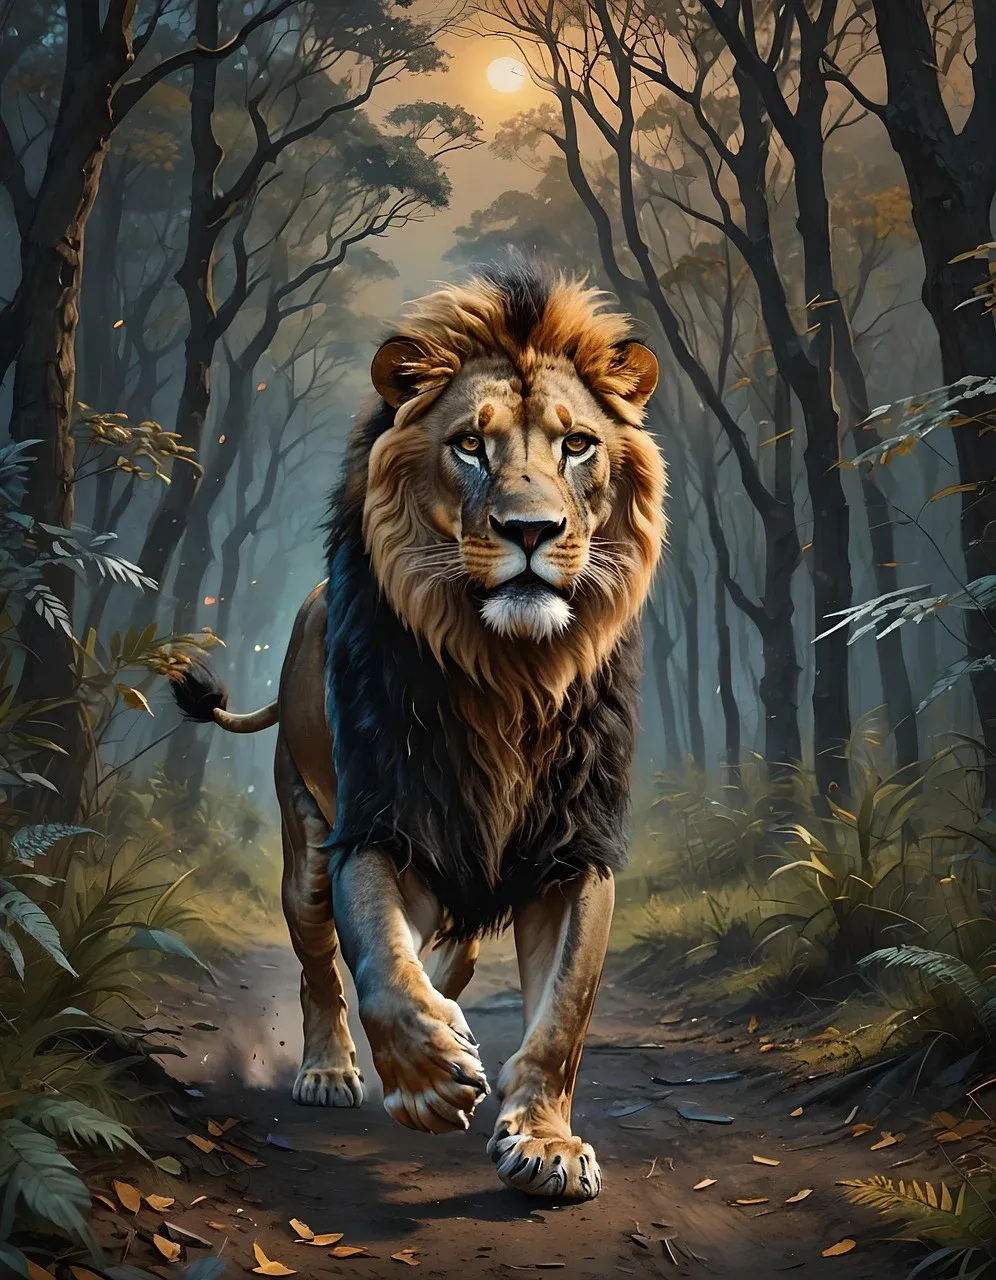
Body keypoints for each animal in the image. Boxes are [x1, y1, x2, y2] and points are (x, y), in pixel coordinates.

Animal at [170, 258, 666, 1201]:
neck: (509, 674)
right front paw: (430, 1077)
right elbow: (376, 965)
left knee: (455, 955)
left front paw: (546, 1141)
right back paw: (332, 1069)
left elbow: (565, 1011)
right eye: (470, 446)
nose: (530, 531)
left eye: (578, 445)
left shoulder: (576, 848)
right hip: (303, 842)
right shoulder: (379, 824)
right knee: (320, 969)